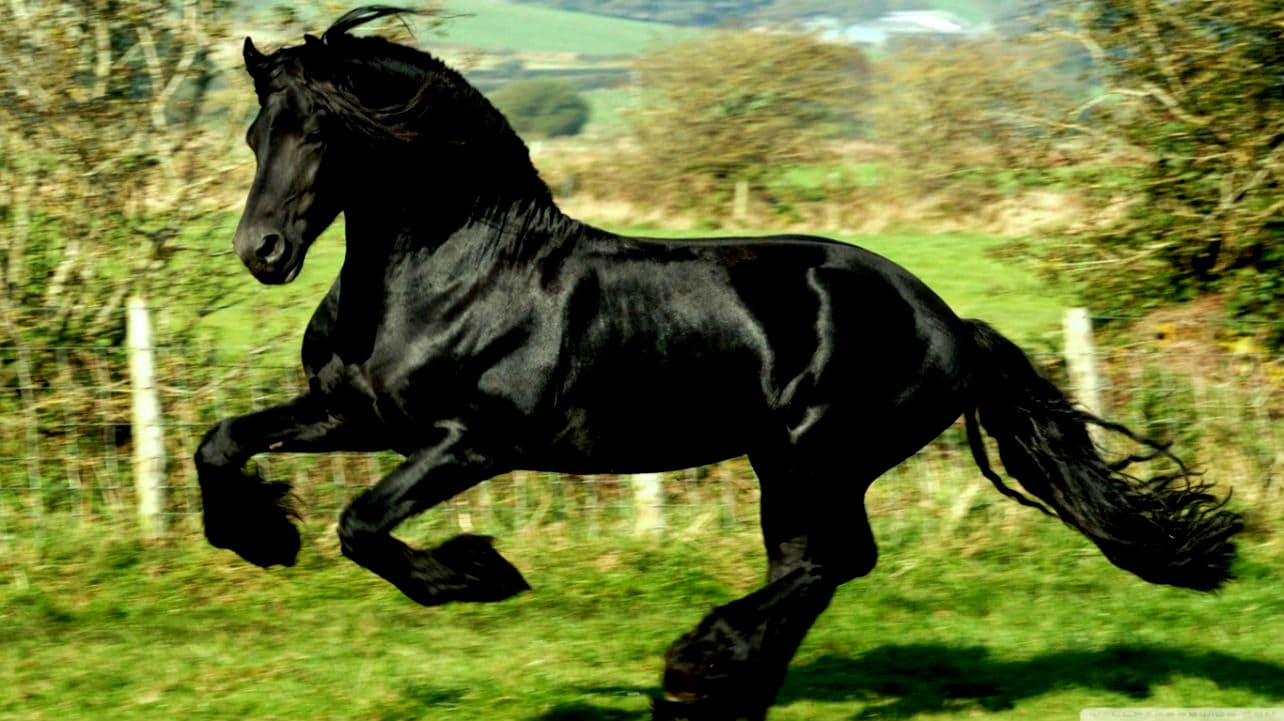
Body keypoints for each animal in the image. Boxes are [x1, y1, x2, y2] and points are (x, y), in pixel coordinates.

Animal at [194, 7, 1243, 720]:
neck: (457, 271)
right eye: (254, 133)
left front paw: (481, 573)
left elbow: (364, 524)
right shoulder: (357, 414)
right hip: (787, 461)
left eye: (321, 131)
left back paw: (696, 672)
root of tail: (948, 320)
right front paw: (259, 536)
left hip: (818, 454)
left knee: (827, 561)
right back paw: (725, 690)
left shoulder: (475, 442)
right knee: (819, 565)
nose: (263, 253)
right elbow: (222, 442)